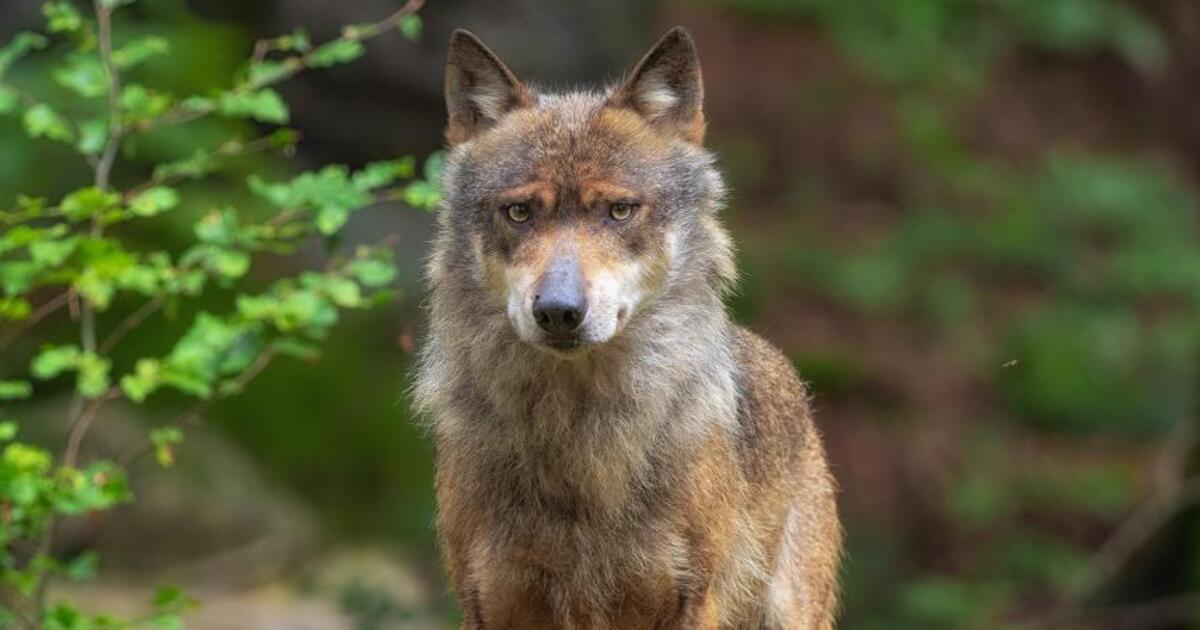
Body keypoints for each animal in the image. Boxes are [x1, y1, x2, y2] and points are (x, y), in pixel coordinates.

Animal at [414, 26, 842, 629]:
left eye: (619, 210)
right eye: (519, 212)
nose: (559, 310)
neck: (580, 440)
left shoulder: (692, 603)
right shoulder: (487, 603)